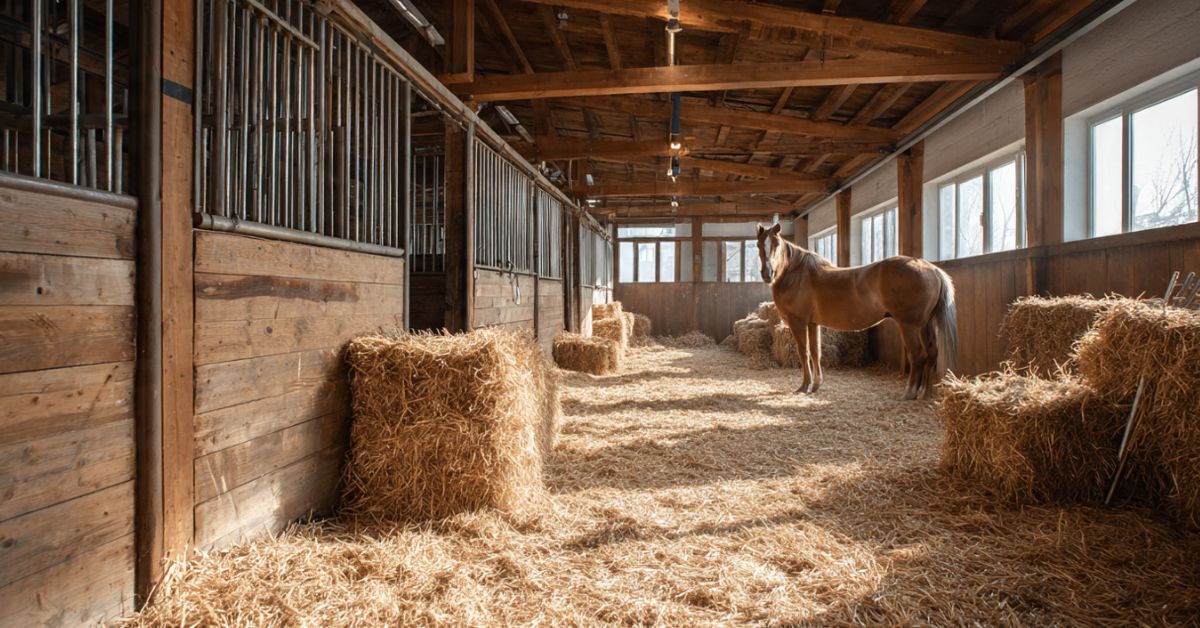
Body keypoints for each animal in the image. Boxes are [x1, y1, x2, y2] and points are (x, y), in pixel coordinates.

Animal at [754, 223, 957, 400]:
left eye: (776, 244)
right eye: (758, 244)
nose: (767, 274)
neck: (797, 275)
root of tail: (931, 268)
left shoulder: (798, 322)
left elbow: (803, 353)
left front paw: (804, 387)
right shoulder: (812, 323)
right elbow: (815, 352)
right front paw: (816, 385)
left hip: (909, 326)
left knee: (917, 356)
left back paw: (909, 393)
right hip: (924, 325)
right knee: (932, 353)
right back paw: (925, 394)